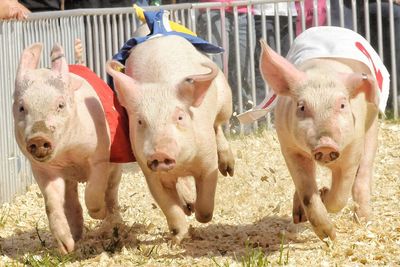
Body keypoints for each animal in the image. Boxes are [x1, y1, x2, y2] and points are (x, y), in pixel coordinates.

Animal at [12, 43, 133, 254]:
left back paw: (112, 223)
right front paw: (65, 248)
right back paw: (76, 237)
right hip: (69, 180)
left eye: (60, 105)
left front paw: (99, 214)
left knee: (111, 193)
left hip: (116, 169)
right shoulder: (42, 169)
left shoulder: (100, 156)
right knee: (71, 201)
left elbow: (93, 192)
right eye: (21, 108)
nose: (39, 138)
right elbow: (52, 203)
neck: (68, 154)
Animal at [106, 35, 234, 245]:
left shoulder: (207, 161)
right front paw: (178, 238)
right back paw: (187, 205)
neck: (181, 165)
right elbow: (169, 207)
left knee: (218, 125)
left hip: (225, 100)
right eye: (140, 121)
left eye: (180, 117)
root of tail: (158, 35)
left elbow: (206, 204)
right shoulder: (150, 173)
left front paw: (199, 215)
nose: (160, 152)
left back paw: (228, 170)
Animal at [258, 26, 390, 242]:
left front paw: (324, 195)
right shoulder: (289, 147)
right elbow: (307, 193)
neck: (323, 71)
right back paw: (298, 216)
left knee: (363, 175)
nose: (326, 144)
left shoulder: (353, 148)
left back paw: (363, 220)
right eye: (302, 107)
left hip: (371, 130)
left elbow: (340, 195)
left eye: (343, 105)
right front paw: (328, 235)